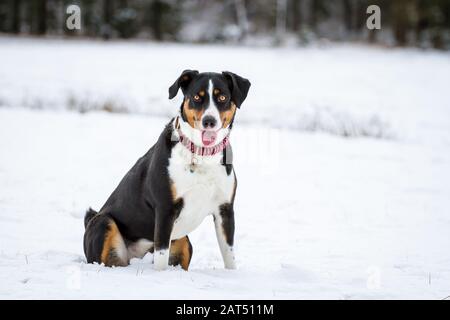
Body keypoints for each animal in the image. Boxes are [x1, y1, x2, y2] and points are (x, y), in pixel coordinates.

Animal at [83, 70, 251, 270]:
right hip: (104, 223)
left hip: (184, 240)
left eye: (223, 97)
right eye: (196, 97)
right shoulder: (165, 209)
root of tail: (136, 260)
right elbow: (162, 257)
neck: (202, 154)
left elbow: (229, 254)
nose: (209, 121)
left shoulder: (224, 209)